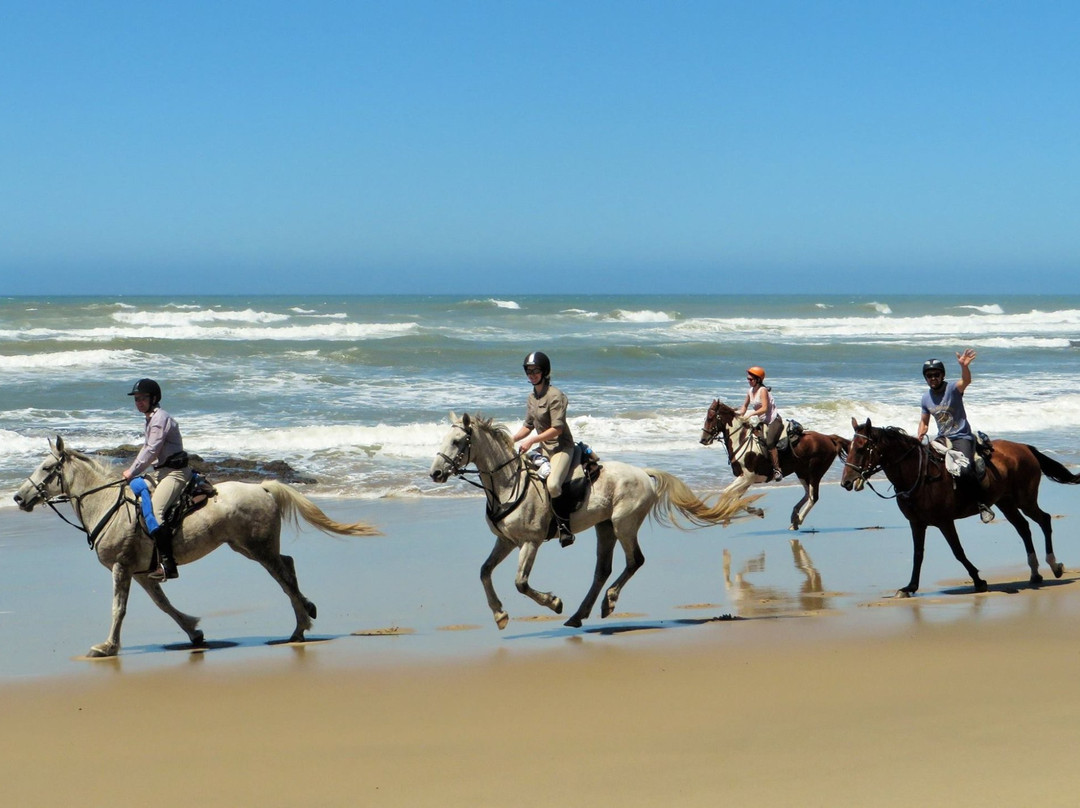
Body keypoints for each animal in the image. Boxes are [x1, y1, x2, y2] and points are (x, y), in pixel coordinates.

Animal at [14, 436, 382, 656]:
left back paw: (301, 625)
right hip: (246, 547)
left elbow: (118, 608)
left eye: (46, 468)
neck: (107, 504)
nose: (18, 497)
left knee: (284, 576)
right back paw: (301, 623)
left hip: (257, 548)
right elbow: (164, 605)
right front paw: (194, 632)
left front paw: (107, 647)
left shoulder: (121, 567)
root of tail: (262, 487)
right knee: (288, 565)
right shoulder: (143, 572)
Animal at [425, 412, 756, 626]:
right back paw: (579, 614)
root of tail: (644, 474)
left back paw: (607, 602)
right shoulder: (505, 541)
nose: (435, 473)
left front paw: (553, 602)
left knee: (634, 561)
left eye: (457, 441)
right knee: (603, 570)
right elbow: (484, 572)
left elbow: (520, 582)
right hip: (604, 527)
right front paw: (500, 614)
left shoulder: (530, 542)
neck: (508, 484)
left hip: (624, 524)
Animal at [699, 399, 851, 529]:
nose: (703, 440)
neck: (741, 441)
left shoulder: (747, 478)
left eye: (711, 417)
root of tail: (829, 438)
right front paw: (754, 512)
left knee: (813, 497)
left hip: (815, 473)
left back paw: (798, 521)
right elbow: (736, 499)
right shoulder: (745, 480)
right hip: (802, 472)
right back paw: (794, 516)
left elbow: (727, 493)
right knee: (808, 494)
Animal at [842, 419, 1080, 596]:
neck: (919, 475)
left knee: (1044, 520)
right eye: (847, 448)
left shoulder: (945, 521)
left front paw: (978, 580)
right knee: (1023, 528)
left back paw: (1054, 566)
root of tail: (1024, 447)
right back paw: (1035, 573)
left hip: (1025, 499)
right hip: (1006, 502)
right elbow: (918, 554)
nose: (845, 482)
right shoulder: (916, 523)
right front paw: (910, 587)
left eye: (861, 449)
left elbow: (958, 551)